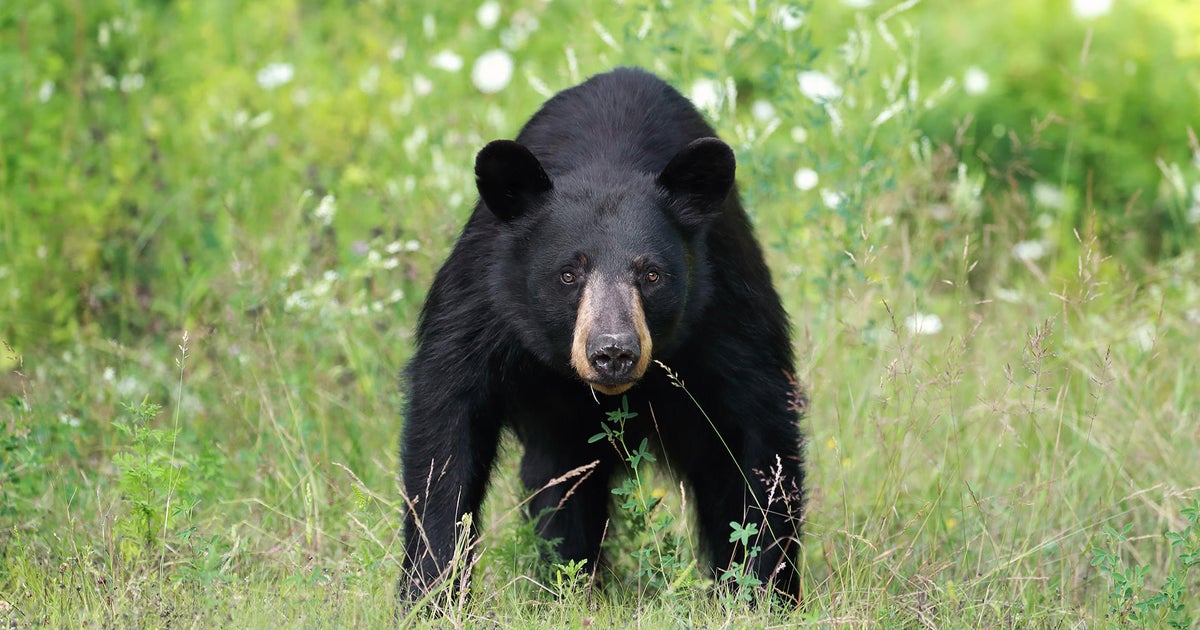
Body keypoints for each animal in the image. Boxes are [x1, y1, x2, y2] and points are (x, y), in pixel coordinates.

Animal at [400, 67, 805, 601]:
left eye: (652, 275)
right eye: (569, 274)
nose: (613, 352)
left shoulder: (725, 310)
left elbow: (759, 440)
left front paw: (763, 591)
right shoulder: (483, 304)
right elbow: (446, 437)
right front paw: (429, 593)